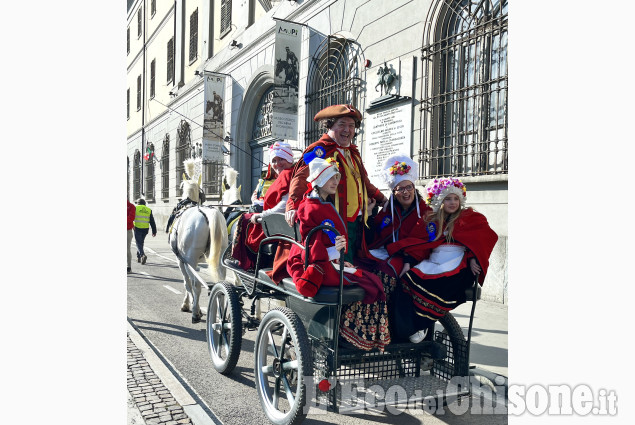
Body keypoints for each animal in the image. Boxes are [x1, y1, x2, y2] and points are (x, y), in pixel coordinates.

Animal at [169, 159, 229, 322]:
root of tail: (209, 213)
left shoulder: (181, 260)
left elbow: (187, 283)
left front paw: (187, 304)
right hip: (219, 258)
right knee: (220, 285)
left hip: (190, 258)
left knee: (196, 284)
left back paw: (196, 312)